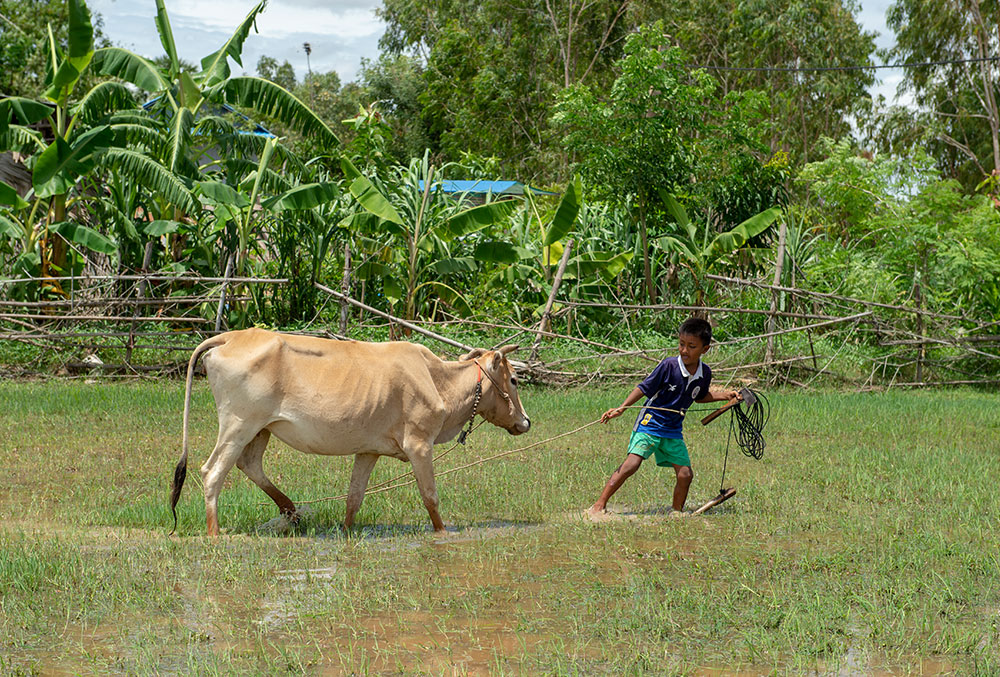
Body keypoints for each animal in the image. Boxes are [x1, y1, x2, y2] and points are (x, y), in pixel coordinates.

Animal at [172, 330, 532, 536]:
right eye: (515, 379)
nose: (526, 422)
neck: (438, 380)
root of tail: (230, 336)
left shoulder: (368, 450)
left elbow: (353, 499)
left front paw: (345, 533)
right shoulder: (419, 444)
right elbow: (430, 497)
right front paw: (443, 535)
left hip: (261, 429)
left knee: (250, 463)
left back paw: (290, 509)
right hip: (239, 423)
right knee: (213, 471)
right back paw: (215, 533)